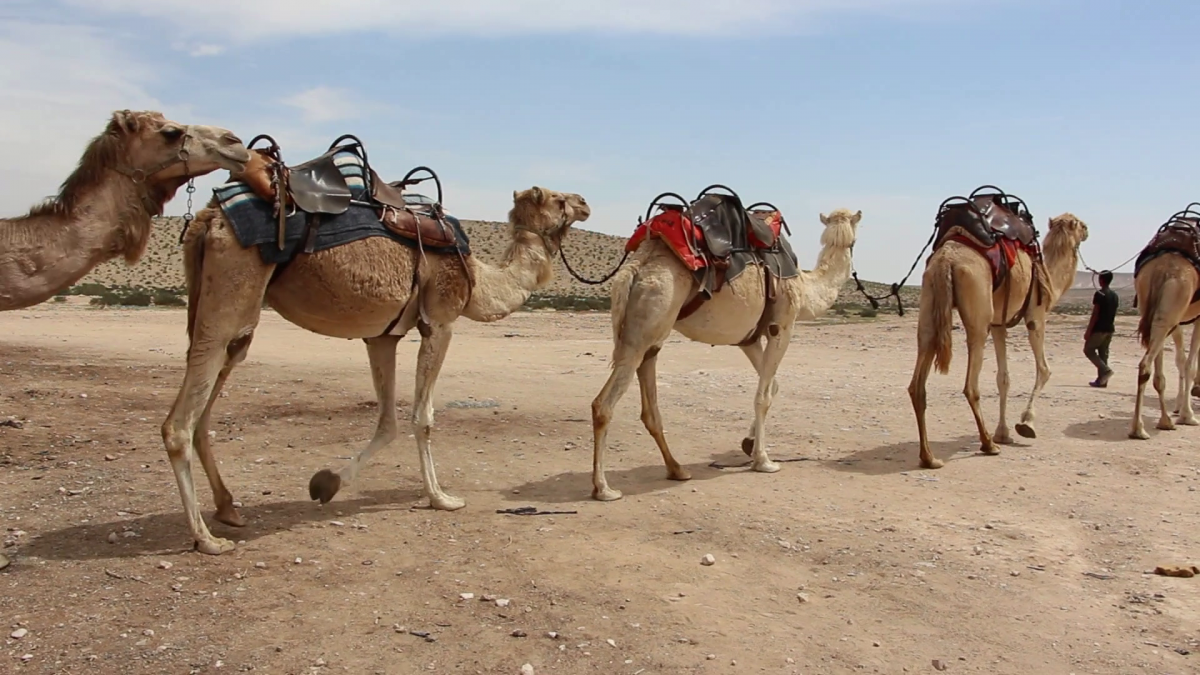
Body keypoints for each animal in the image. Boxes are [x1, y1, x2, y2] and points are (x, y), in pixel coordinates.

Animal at [159, 183, 590, 552]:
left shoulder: (382, 337)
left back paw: (228, 509)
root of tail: (207, 219)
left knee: (205, 407)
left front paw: (327, 483)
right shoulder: (441, 319)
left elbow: (387, 422)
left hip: (225, 314)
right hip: (231, 294)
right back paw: (206, 538)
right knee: (179, 422)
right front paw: (441, 498)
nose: (585, 202)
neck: (479, 279)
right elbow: (422, 417)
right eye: (557, 199)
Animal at [590, 206, 864, 499]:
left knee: (648, 401)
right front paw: (763, 461)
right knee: (604, 404)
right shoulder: (782, 326)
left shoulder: (749, 340)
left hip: (650, 329)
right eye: (854, 240)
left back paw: (677, 469)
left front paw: (748, 443)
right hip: (648, 320)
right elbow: (763, 396)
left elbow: (772, 386)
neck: (804, 285)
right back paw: (604, 488)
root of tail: (635, 267)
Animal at [902, 210, 1094, 468]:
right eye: (1080, 224)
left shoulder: (998, 325)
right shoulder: (1036, 314)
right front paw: (1025, 424)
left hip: (930, 300)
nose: (1088, 229)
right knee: (971, 384)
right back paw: (988, 444)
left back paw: (929, 457)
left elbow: (1003, 378)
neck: (1050, 279)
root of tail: (946, 259)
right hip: (978, 310)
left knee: (918, 379)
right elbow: (1044, 369)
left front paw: (1004, 433)